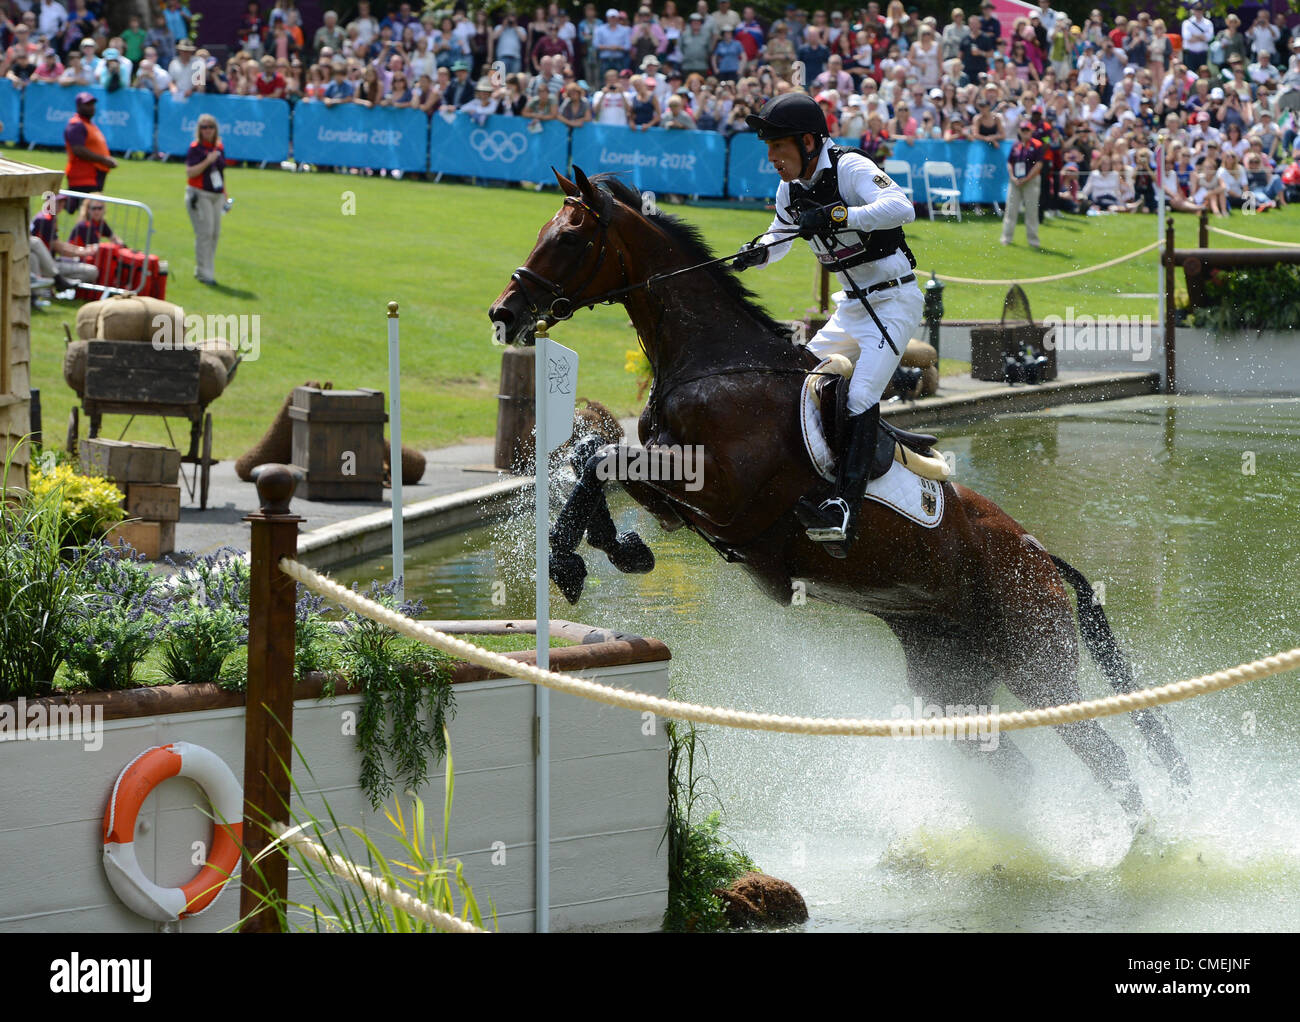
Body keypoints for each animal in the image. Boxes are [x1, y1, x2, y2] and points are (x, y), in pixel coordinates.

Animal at [488, 169, 1190, 821]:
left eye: (571, 237)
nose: (504, 314)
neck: (713, 364)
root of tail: (1042, 554)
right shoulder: (680, 501)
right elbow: (592, 458)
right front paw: (608, 546)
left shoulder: (721, 492)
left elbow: (601, 457)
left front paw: (573, 556)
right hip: (949, 672)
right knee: (1012, 761)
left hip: (1037, 664)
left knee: (1109, 758)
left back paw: (1141, 848)